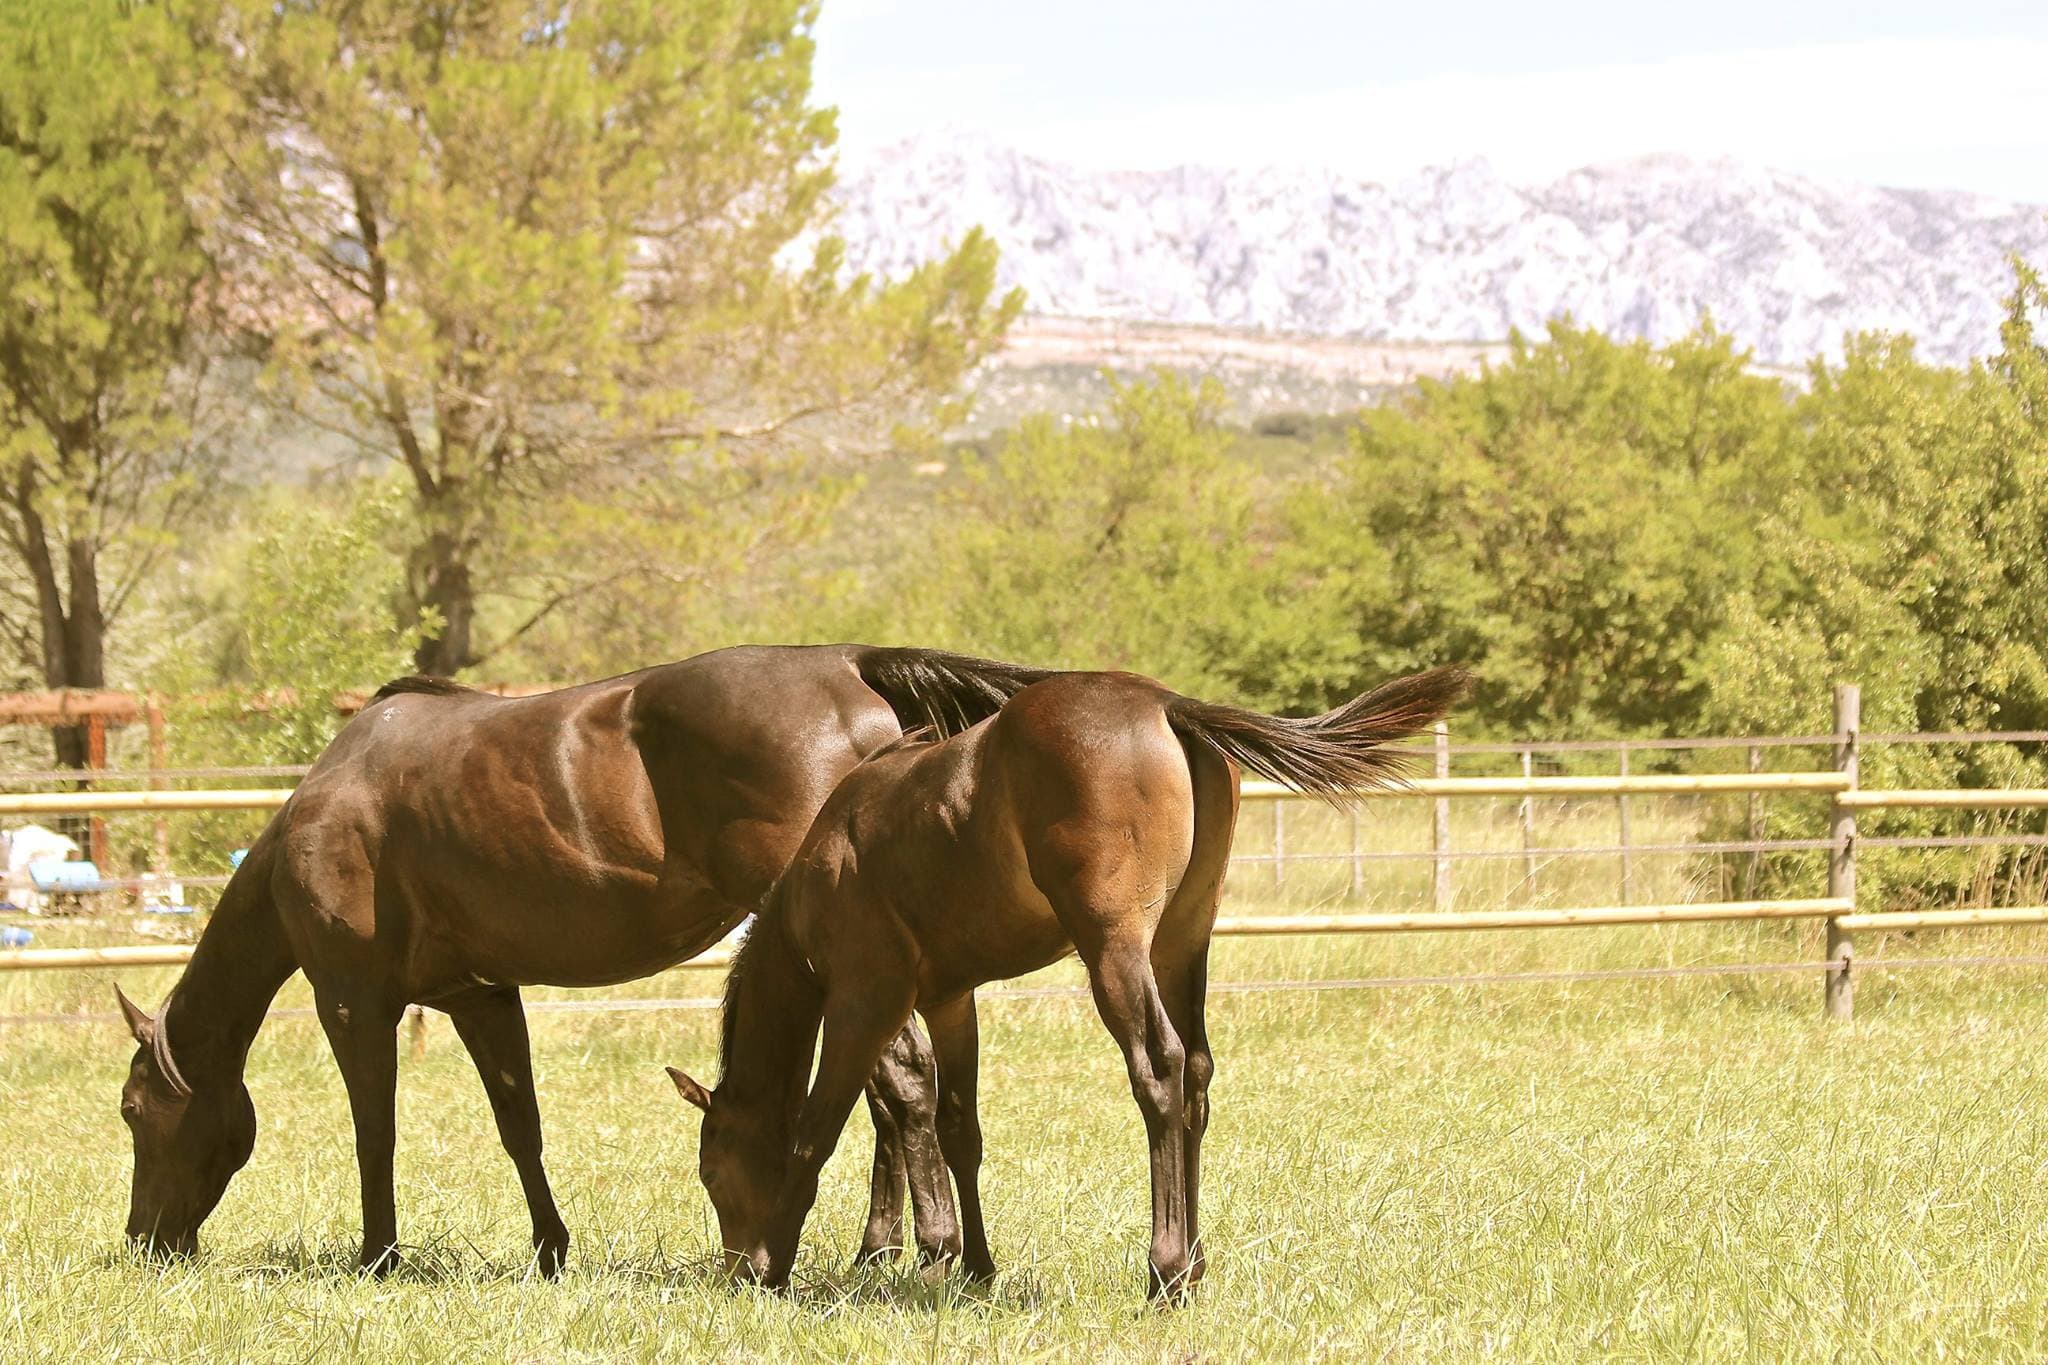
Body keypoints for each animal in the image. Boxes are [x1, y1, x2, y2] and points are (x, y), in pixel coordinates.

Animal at [114, 644, 1056, 1275]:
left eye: (130, 1110)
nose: (143, 1239)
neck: (308, 828)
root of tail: (850, 666)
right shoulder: (481, 996)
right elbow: (519, 1126)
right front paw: (550, 1249)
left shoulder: (352, 1002)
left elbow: (373, 1130)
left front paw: (378, 1254)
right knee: (896, 1093)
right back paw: (888, 1248)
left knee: (900, 1089)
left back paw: (926, 1246)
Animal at [664, 664, 1469, 1301]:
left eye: (713, 1169)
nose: (735, 1265)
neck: (826, 868)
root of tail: (1167, 705)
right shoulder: (949, 1000)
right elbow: (960, 1129)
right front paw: (978, 1269)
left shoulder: (867, 1003)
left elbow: (815, 1131)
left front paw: (775, 1269)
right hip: (1182, 943)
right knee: (1198, 1073)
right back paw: (1195, 1260)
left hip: (1114, 947)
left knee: (1160, 1068)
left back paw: (1166, 1270)